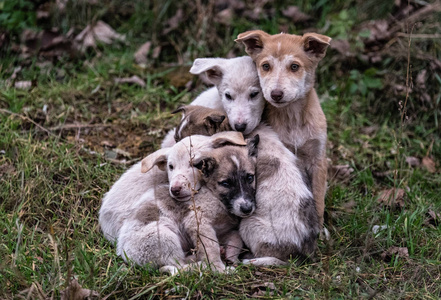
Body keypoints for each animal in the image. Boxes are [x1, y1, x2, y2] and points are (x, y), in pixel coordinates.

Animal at [116, 132, 258, 274]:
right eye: (226, 183)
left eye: (250, 178)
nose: (247, 208)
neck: (214, 195)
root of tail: (125, 254)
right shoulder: (198, 223)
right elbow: (211, 249)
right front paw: (218, 269)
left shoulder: (221, 230)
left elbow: (236, 238)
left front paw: (230, 255)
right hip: (164, 237)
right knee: (178, 267)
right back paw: (201, 265)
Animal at [235, 31, 328, 227]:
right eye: (265, 66)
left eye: (294, 66)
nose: (276, 94)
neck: (293, 118)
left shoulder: (318, 159)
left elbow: (318, 199)